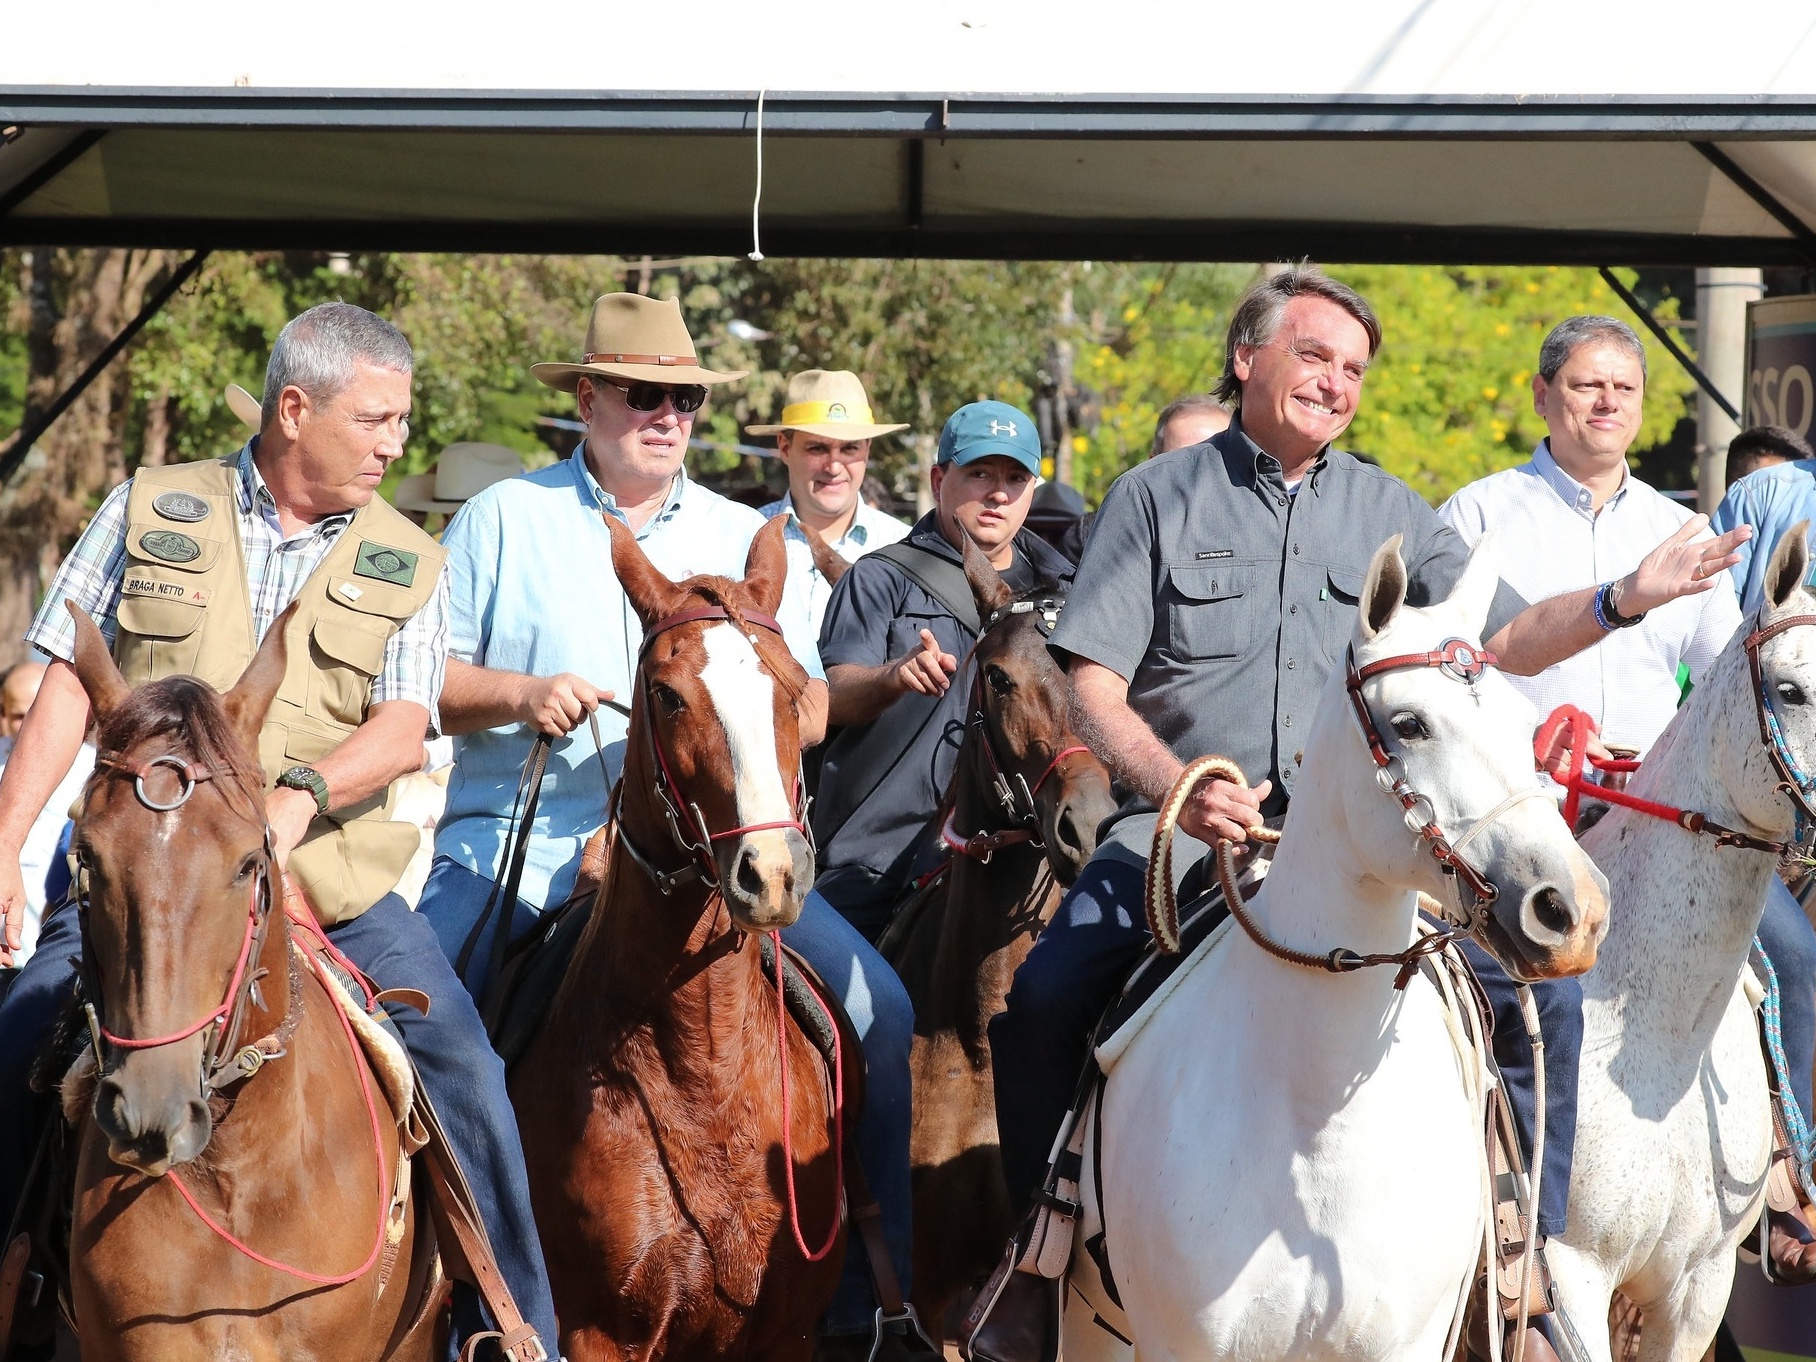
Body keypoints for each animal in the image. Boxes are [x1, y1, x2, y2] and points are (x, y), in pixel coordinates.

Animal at [512, 515, 842, 1358]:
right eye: (666, 695)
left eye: (795, 686)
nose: (772, 871)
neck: (703, 1070)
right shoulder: (598, 1330)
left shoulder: (787, 1330)